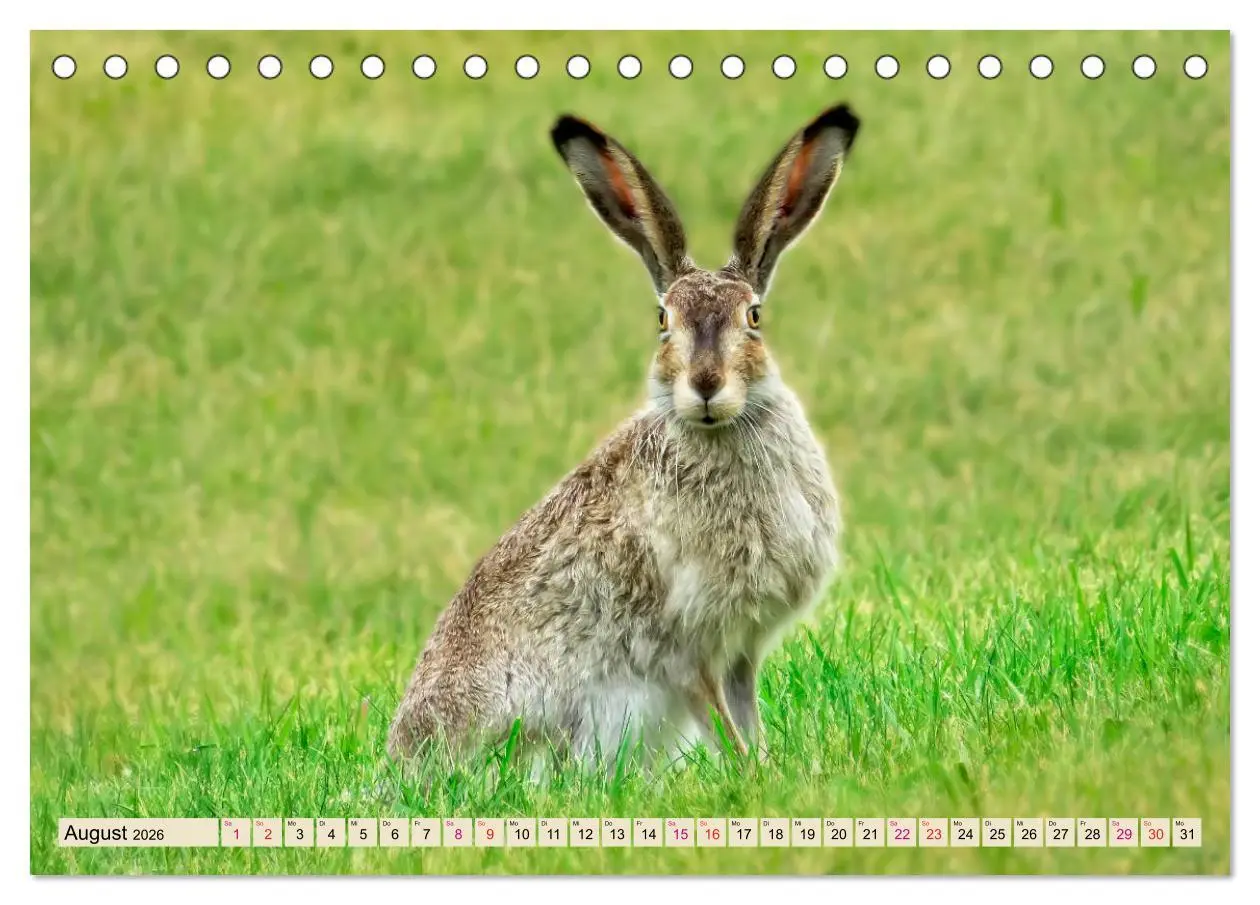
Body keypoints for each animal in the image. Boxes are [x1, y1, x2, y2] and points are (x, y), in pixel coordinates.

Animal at [388, 103, 860, 769]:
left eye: (754, 317)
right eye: (664, 320)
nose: (705, 385)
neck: (719, 430)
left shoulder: (739, 648)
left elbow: (746, 713)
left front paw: (768, 768)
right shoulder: (687, 648)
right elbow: (720, 719)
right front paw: (750, 774)